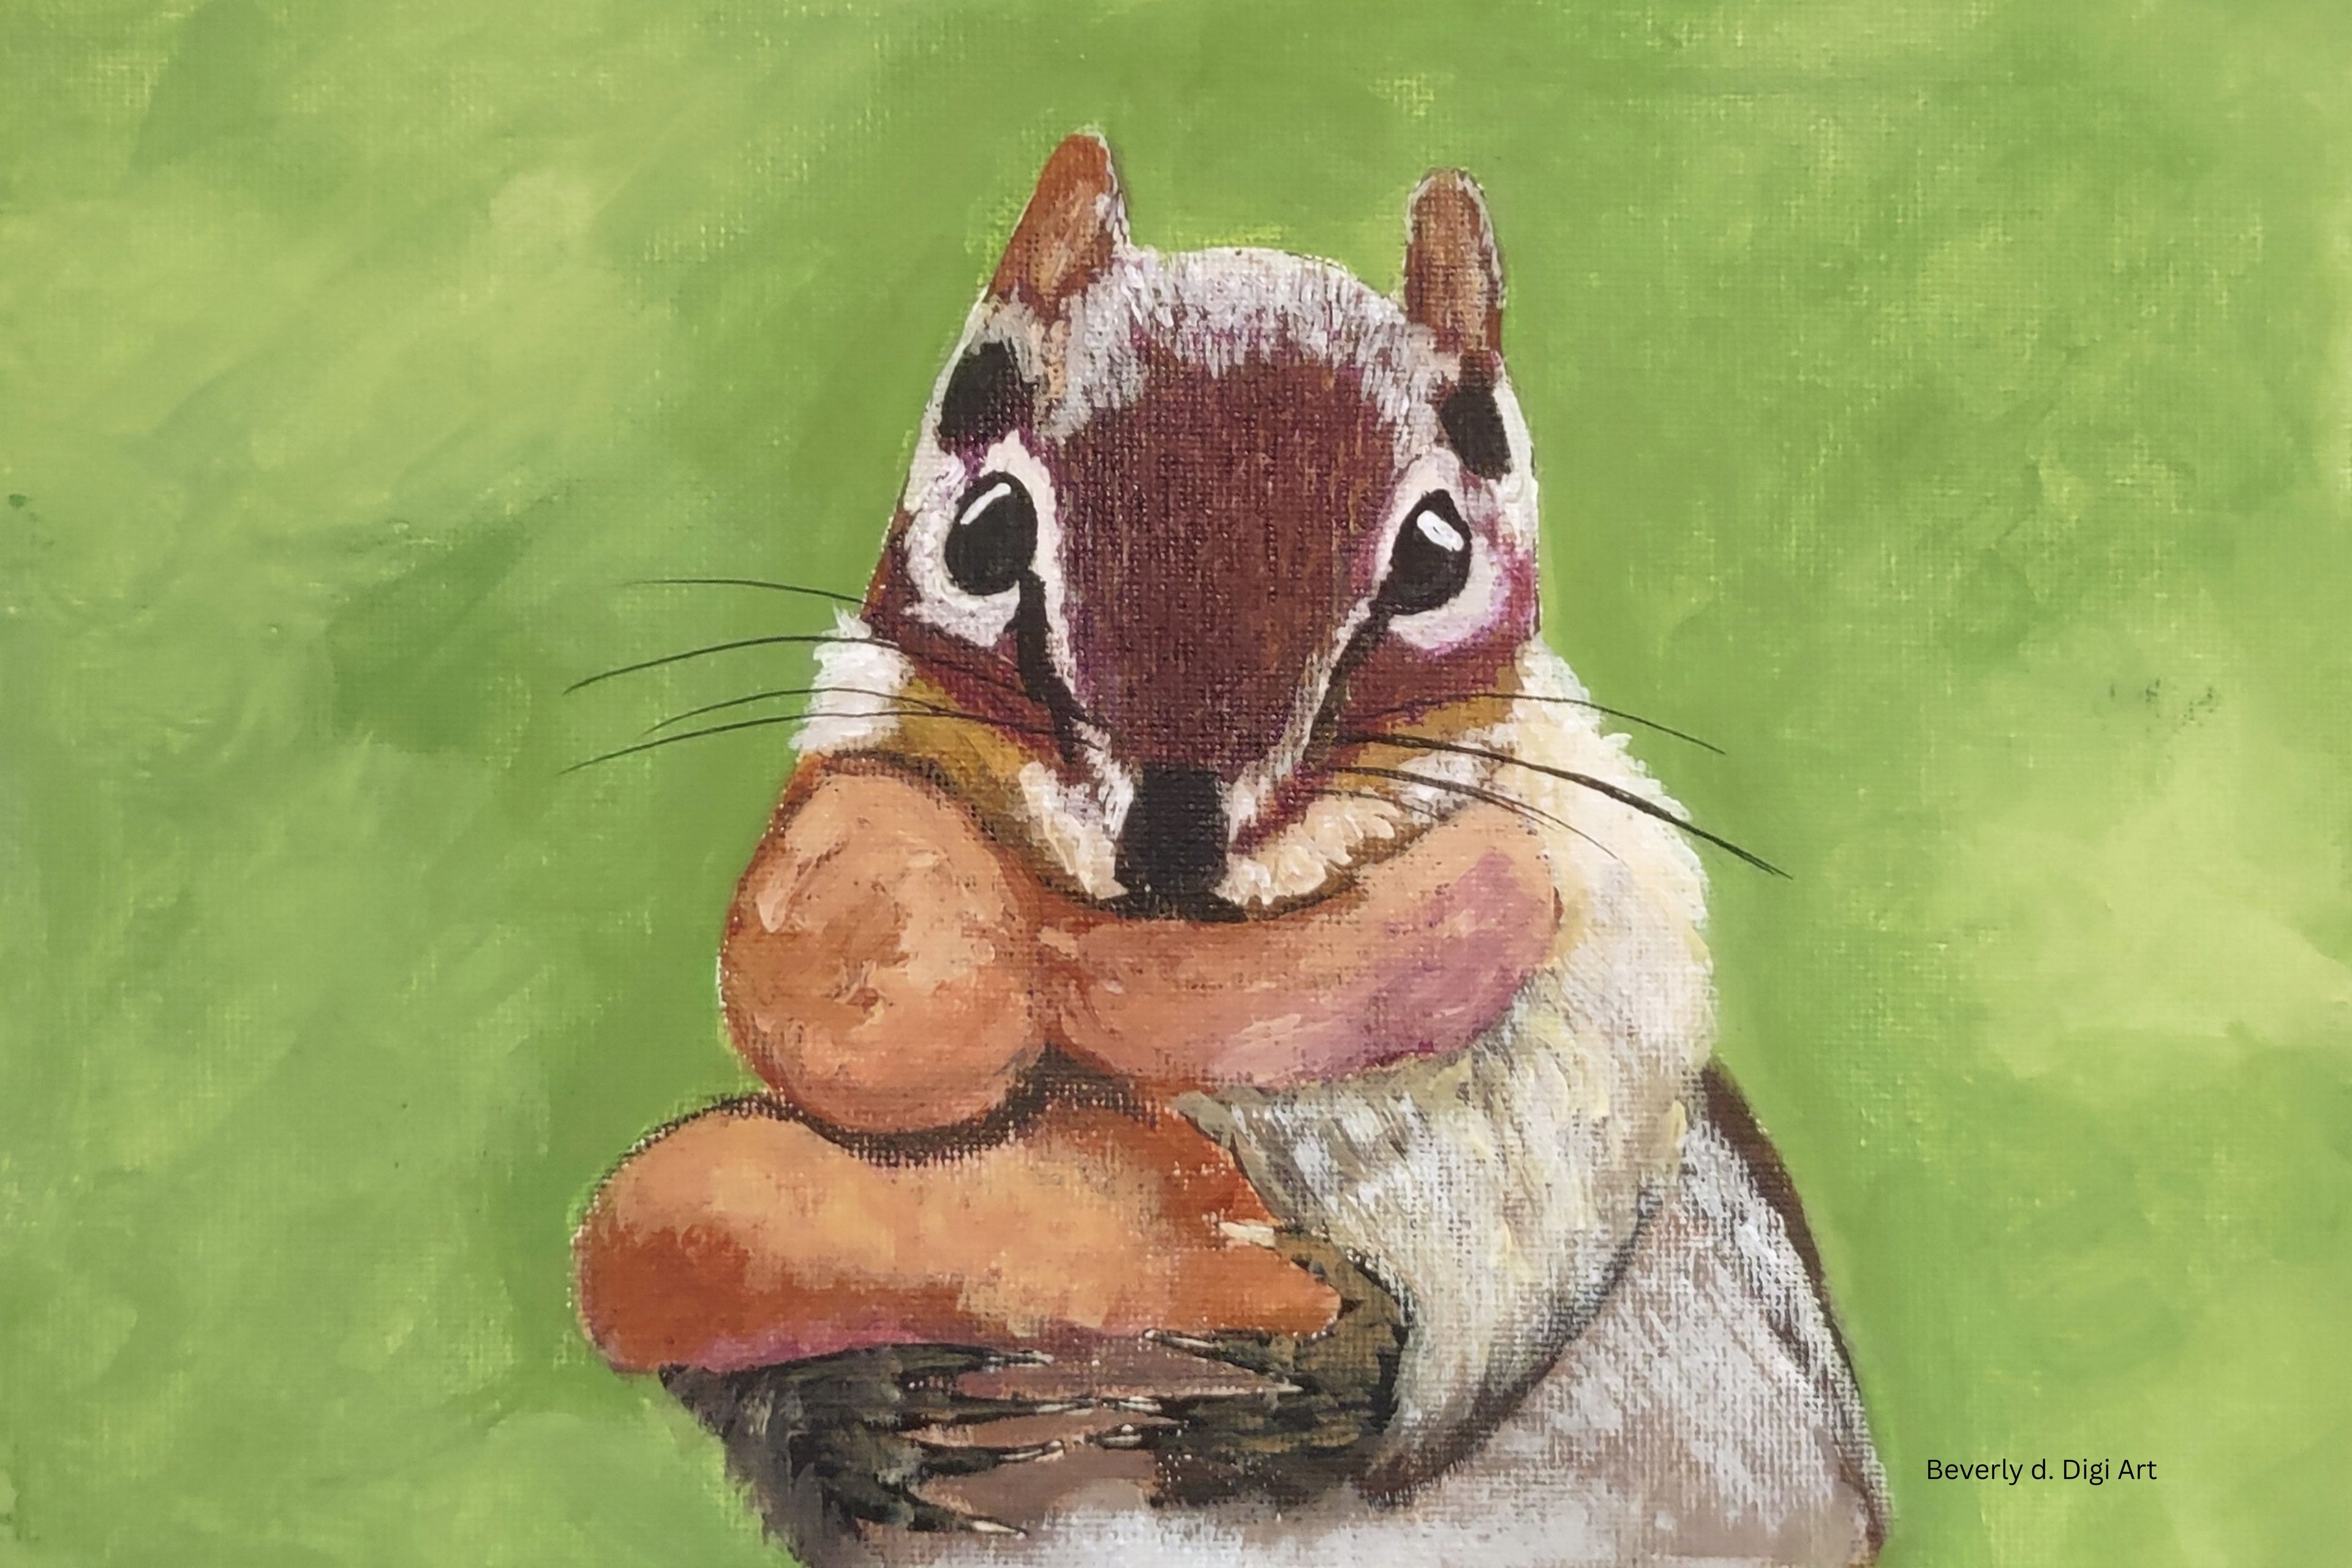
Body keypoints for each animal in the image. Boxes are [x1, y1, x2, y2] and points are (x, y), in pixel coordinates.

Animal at [573, 134, 1889, 1566]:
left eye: (1439, 552)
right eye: (984, 529)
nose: (1173, 829)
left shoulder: (1607, 919)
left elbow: (1552, 1209)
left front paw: (1352, 1365)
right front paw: (838, 1413)